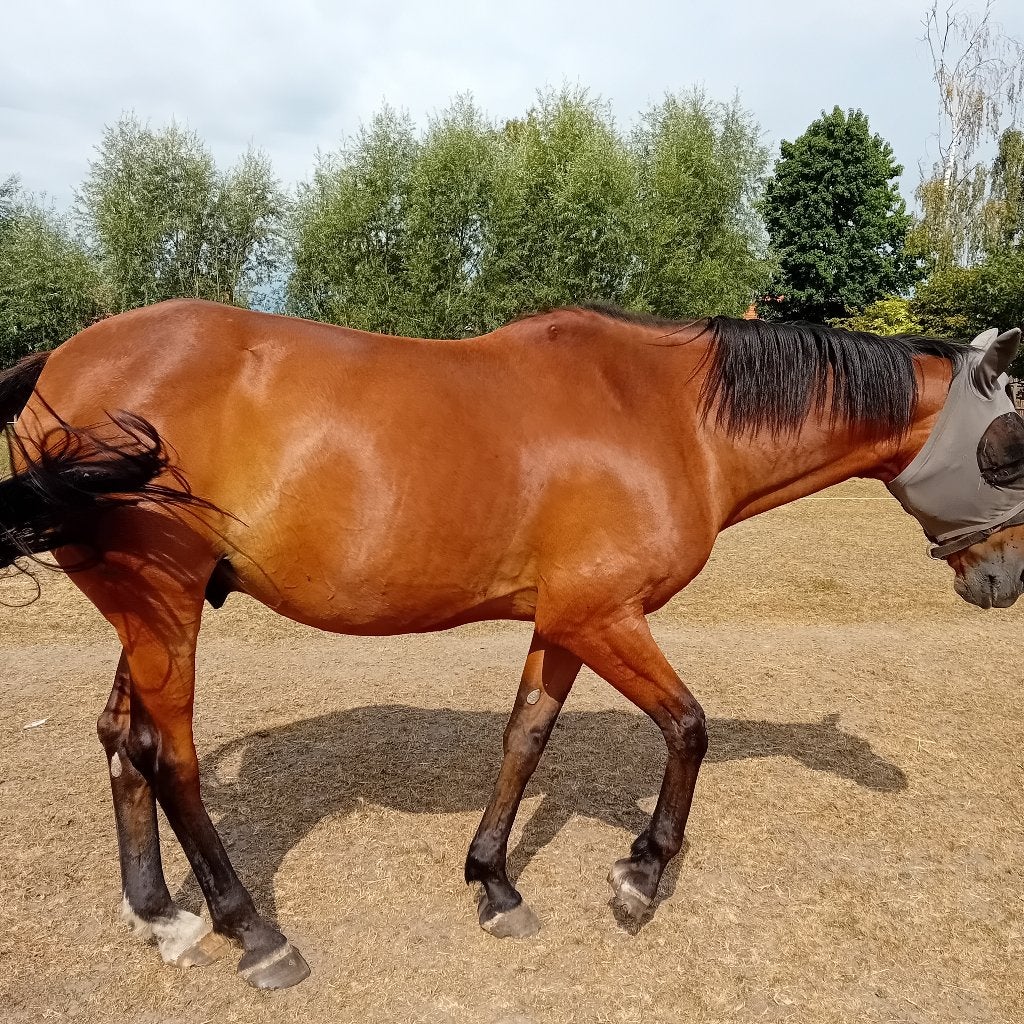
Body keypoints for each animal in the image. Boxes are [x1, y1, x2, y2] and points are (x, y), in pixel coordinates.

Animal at [1, 300, 1021, 989]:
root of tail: (62, 359)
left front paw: (494, 883)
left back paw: (159, 915)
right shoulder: (607, 616)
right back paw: (253, 932)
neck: (668, 416)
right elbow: (689, 727)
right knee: (170, 757)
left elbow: (526, 737)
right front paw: (640, 876)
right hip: (164, 608)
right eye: (1009, 447)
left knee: (122, 742)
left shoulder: (565, 621)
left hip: (145, 612)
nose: (1005, 580)